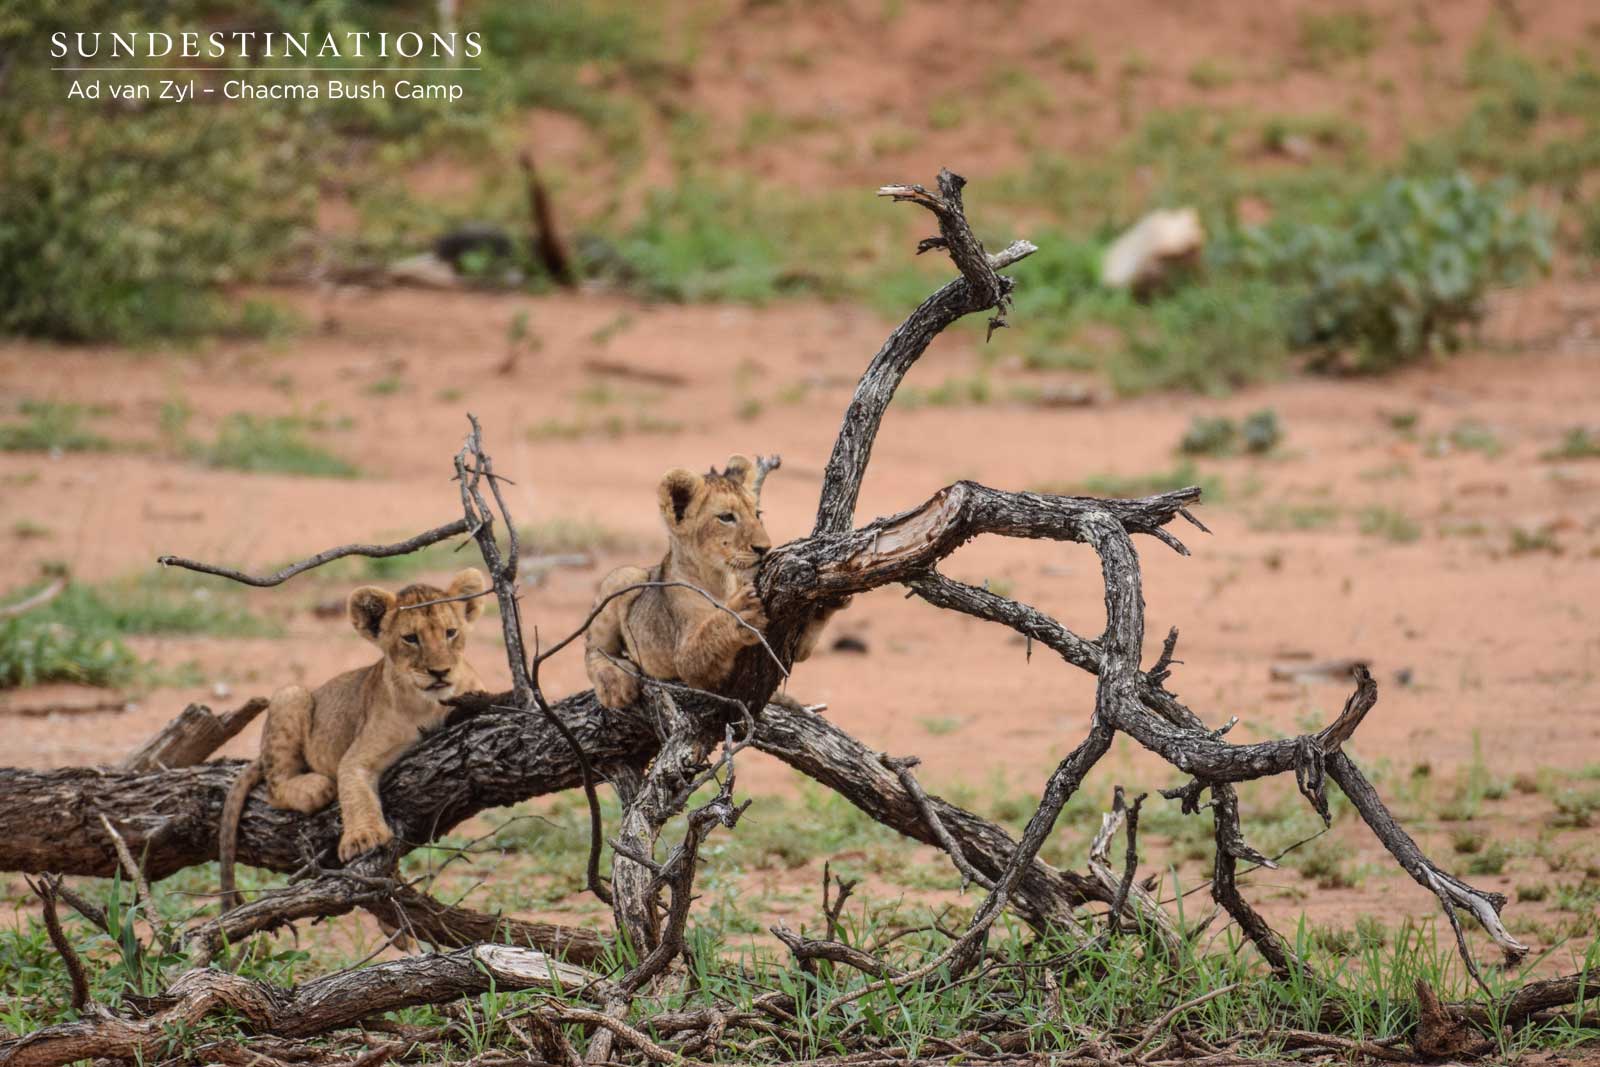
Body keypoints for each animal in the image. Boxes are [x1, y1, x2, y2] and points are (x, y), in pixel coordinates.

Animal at [218, 568, 487, 912]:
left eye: (451, 632)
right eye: (410, 638)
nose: (440, 671)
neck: (430, 704)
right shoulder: (358, 756)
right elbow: (355, 793)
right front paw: (362, 838)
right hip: (293, 694)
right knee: (275, 786)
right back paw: (315, 788)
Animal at [584, 454, 846, 709]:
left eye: (757, 514)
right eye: (726, 517)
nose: (764, 548)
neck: (720, 581)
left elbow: (802, 649)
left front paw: (827, 602)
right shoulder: (688, 663)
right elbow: (706, 638)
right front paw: (741, 613)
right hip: (625, 576)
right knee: (593, 649)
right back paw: (615, 684)